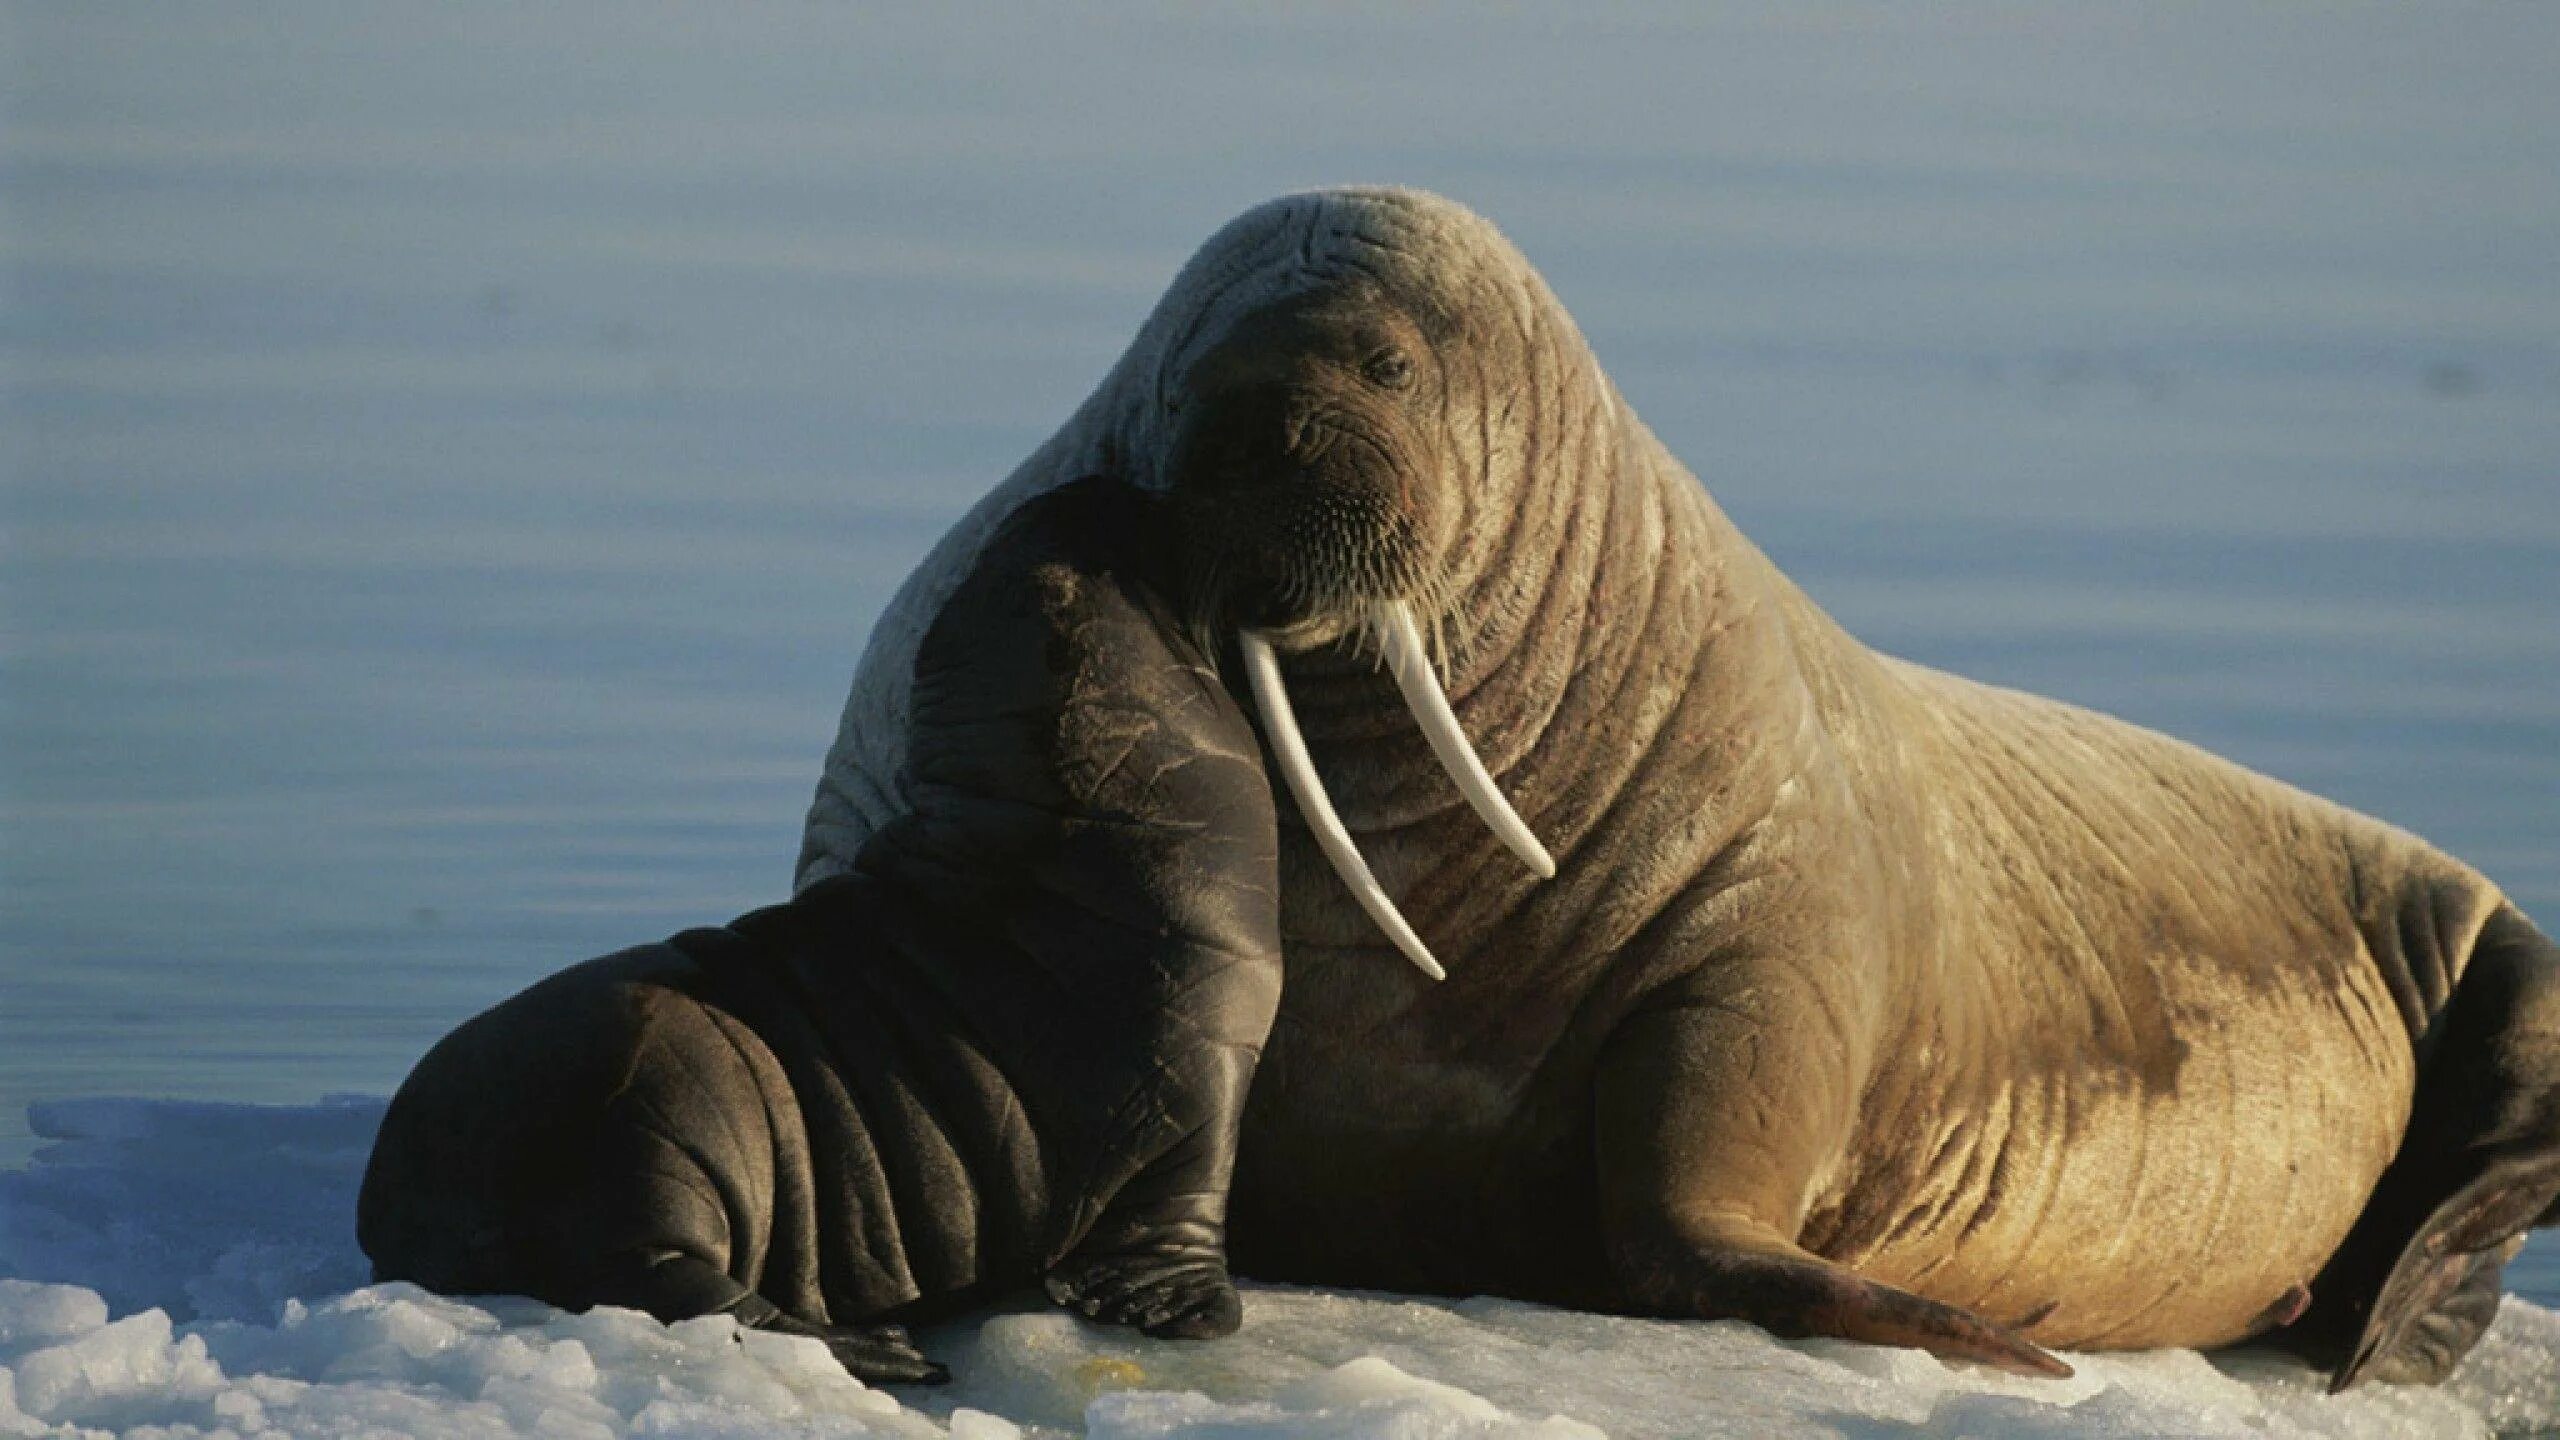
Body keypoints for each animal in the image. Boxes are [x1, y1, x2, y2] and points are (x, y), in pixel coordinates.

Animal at [366, 481, 1280, 1383]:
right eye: (1103, 542)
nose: (1106, 483)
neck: (1084, 817)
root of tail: (395, 1198)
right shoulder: (1193, 1062)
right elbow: (1180, 1199)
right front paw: (1181, 1307)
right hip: (648, 1125)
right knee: (669, 1281)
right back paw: (884, 1348)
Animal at [808, 184, 2560, 1383]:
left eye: (1384, 363)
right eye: (1180, 382)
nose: (1259, 424)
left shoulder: (1770, 931)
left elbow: (1696, 1181)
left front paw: (1989, 1338)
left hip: (2482, 930)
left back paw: (2373, 1337)